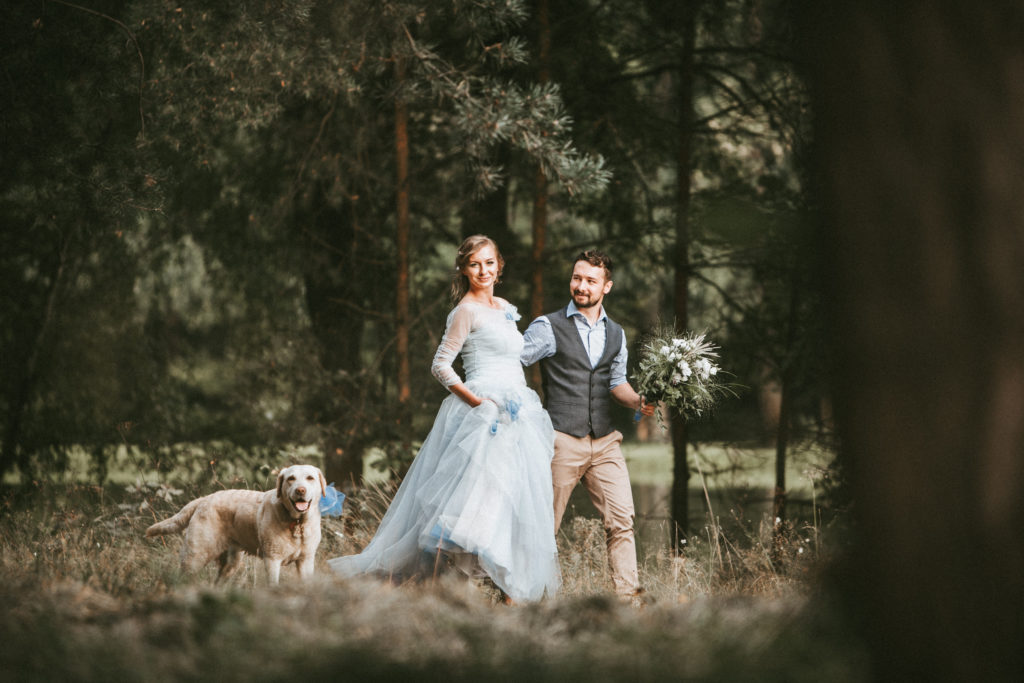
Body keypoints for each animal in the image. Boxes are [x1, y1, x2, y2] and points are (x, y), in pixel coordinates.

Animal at [145, 466, 323, 585]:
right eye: (290, 478)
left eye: (310, 478)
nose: (300, 490)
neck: (297, 523)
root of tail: (204, 499)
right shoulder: (272, 560)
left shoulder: (306, 561)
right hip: (195, 556)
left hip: (230, 564)